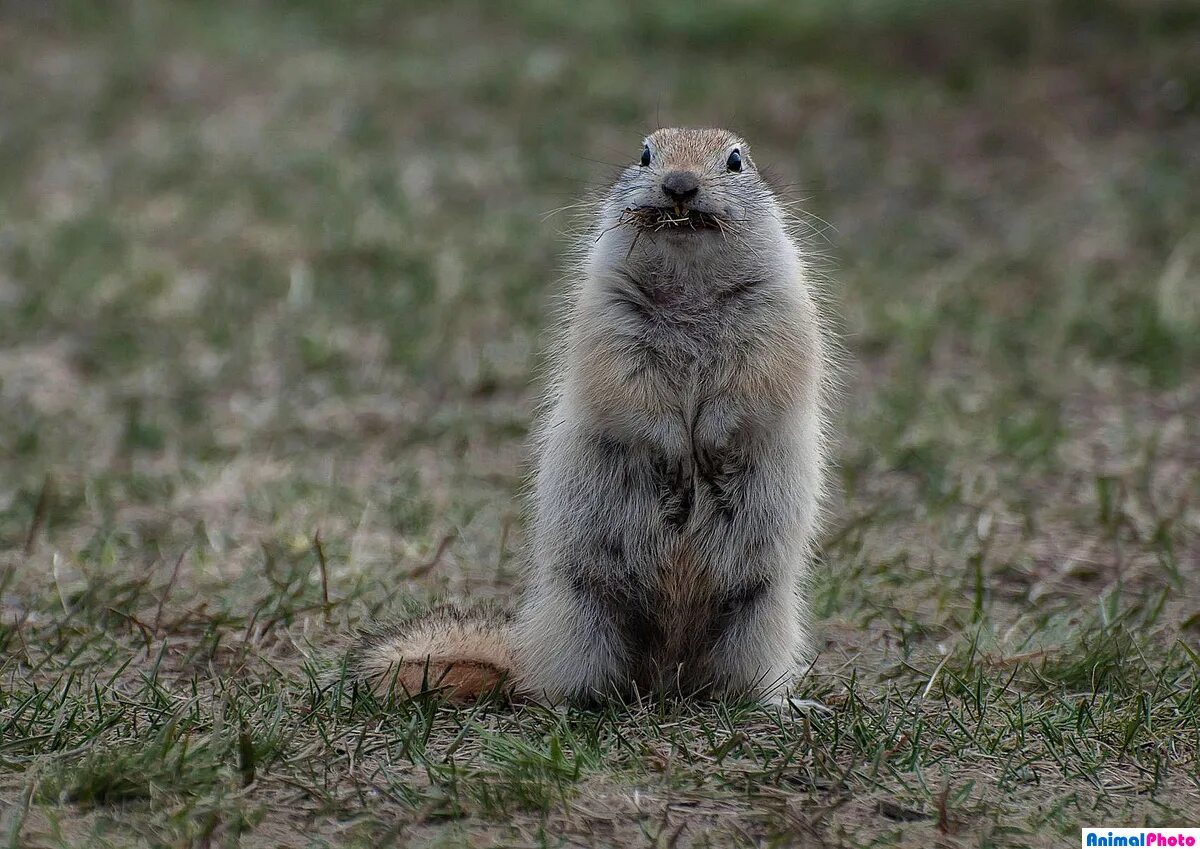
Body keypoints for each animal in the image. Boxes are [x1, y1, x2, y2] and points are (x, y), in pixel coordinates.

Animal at [350, 125, 830, 705]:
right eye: (644, 154)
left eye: (736, 161)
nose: (680, 185)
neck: (689, 281)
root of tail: (665, 677)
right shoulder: (606, 316)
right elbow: (629, 391)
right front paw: (677, 453)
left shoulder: (777, 316)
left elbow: (753, 384)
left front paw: (711, 448)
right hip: (582, 612)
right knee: (556, 684)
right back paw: (573, 703)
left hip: (761, 616)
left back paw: (781, 703)